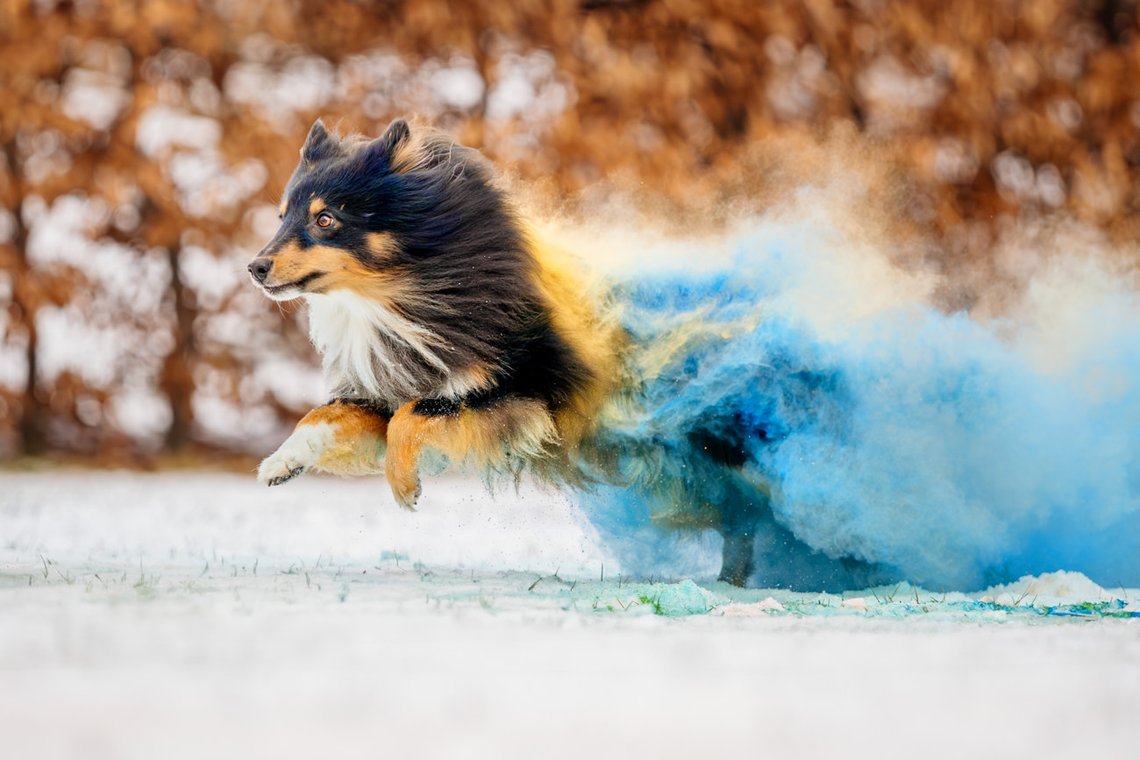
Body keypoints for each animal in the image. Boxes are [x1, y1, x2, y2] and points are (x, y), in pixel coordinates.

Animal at [250, 119, 766, 587]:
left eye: (325, 219)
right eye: (282, 217)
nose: (255, 267)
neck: (404, 297)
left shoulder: (523, 394)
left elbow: (413, 418)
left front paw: (404, 486)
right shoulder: (392, 389)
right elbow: (328, 415)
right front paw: (280, 464)